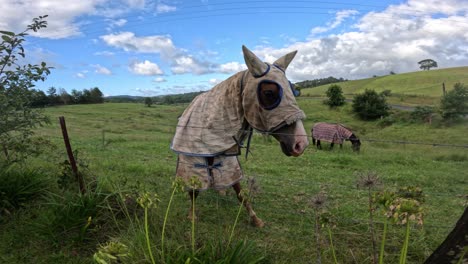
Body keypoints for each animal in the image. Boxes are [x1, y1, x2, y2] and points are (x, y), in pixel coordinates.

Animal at [170, 44, 308, 227]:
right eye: (269, 93)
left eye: (294, 91)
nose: (300, 143)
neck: (211, 124)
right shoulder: (193, 161)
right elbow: (194, 190)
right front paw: (192, 216)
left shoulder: (228, 160)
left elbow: (240, 192)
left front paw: (255, 219)